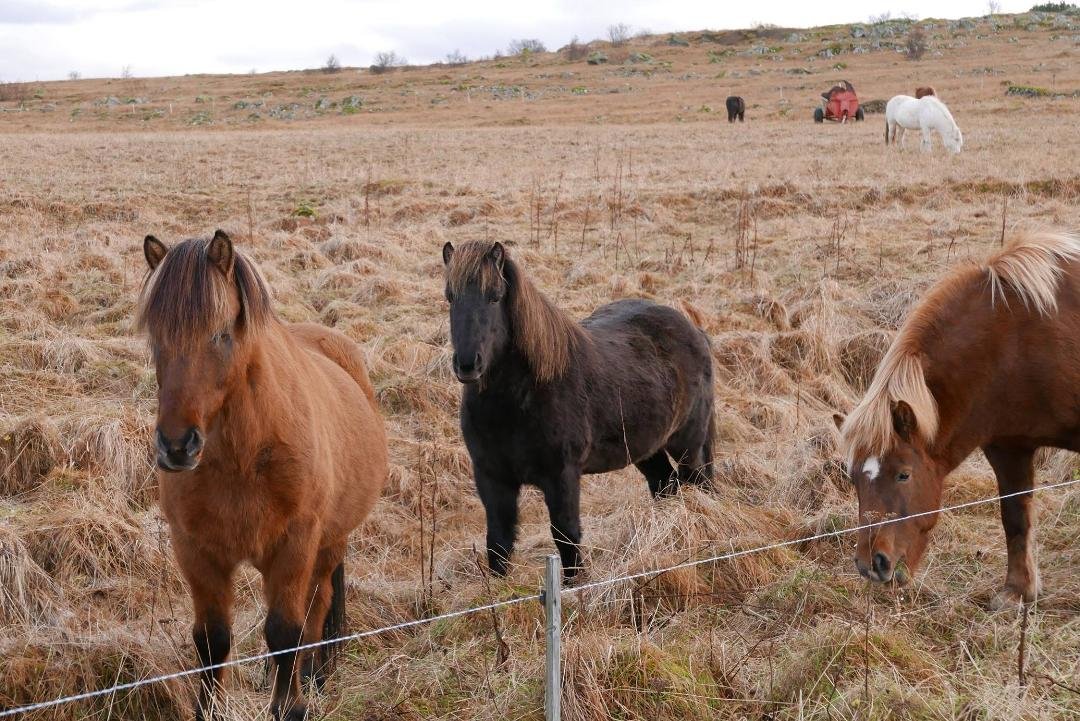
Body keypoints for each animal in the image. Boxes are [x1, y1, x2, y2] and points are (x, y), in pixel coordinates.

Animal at [137, 230, 388, 720]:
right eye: (155, 337)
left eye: (220, 334)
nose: (176, 446)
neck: (243, 458)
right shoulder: (196, 551)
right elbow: (211, 639)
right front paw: (209, 710)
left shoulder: (295, 544)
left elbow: (286, 632)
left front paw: (290, 706)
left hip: (329, 544)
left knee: (318, 606)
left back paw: (314, 677)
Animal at [442, 240, 715, 580]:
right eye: (450, 297)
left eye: (494, 296)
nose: (468, 364)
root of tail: (695, 330)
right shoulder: (492, 477)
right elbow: (498, 541)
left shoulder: (562, 476)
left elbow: (566, 534)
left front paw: (576, 585)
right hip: (646, 449)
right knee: (666, 485)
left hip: (688, 444)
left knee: (698, 485)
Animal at [834, 230, 1080, 610]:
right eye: (853, 478)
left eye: (904, 474)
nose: (872, 564)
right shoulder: (1008, 448)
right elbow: (1015, 516)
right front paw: (1016, 591)